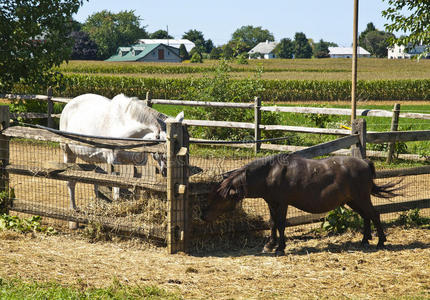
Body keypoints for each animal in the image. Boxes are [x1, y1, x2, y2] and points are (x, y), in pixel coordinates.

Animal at [202, 155, 404, 255]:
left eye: (218, 198)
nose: (202, 215)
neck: (269, 174)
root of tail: (365, 162)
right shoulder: (271, 203)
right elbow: (273, 224)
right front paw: (270, 245)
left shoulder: (282, 203)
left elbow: (281, 224)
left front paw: (280, 247)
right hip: (352, 200)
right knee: (366, 216)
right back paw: (365, 240)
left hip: (361, 198)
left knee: (374, 215)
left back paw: (380, 241)